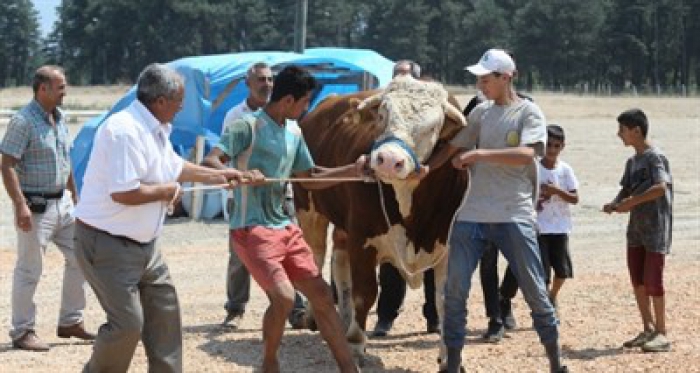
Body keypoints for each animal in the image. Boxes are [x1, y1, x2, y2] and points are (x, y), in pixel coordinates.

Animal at [292, 75, 468, 366]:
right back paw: (314, 315)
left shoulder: (450, 245)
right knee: (315, 257)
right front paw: (355, 345)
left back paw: (343, 320)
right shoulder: (363, 239)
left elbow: (445, 300)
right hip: (308, 208)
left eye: (433, 126)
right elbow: (365, 293)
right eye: (384, 114)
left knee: (339, 260)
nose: (388, 160)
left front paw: (448, 357)